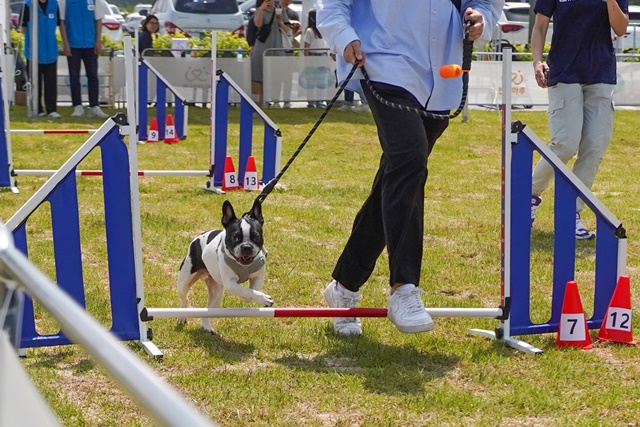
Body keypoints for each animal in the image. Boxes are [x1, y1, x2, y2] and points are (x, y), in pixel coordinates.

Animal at [176, 201, 274, 334]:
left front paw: (250, 298)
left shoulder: (258, 277)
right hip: (184, 282)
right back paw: (182, 315)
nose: (247, 246)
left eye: (256, 236)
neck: (242, 264)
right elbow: (245, 290)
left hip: (217, 293)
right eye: (234, 237)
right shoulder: (230, 283)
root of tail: (199, 236)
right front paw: (263, 298)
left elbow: (251, 290)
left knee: (208, 309)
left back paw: (206, 326)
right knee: (185, 298)